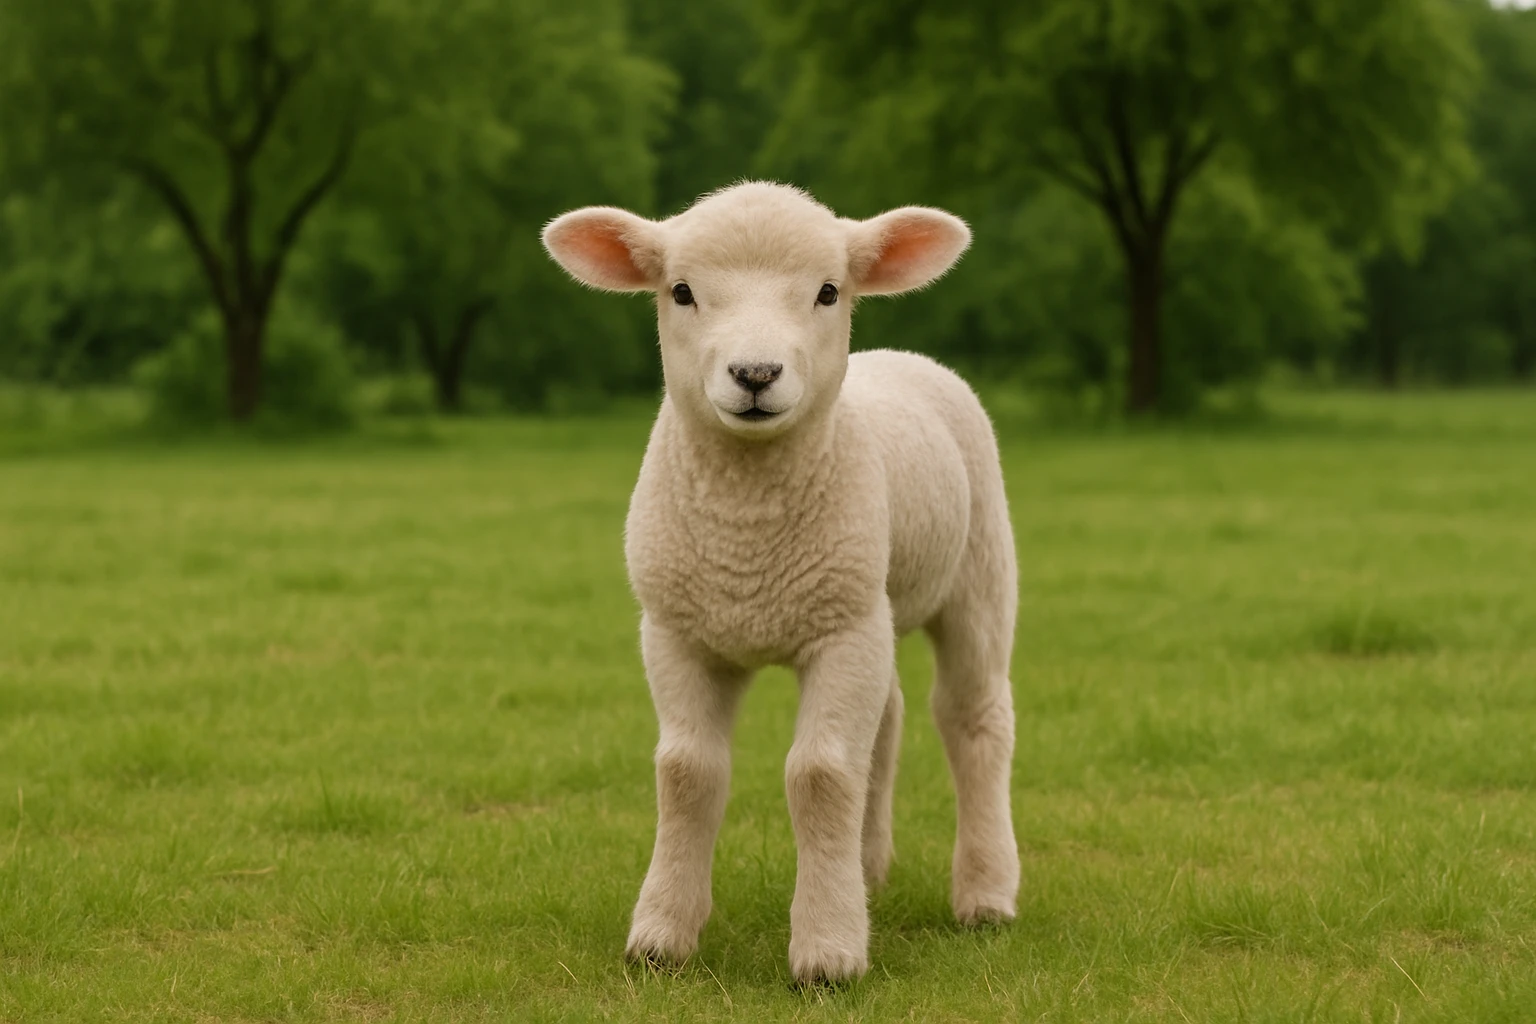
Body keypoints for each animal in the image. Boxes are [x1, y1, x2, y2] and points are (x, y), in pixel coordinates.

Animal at [541, 181, 1019, 984]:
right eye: (681, 291)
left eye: (828, 292)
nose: (756, 375)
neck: (748, 544)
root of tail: (901, 356)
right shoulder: (676, 630)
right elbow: (687, 773)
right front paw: (661, 936)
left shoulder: (841, 631)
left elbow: (819, 776)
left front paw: (827, 953)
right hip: (875, 602)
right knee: (886, 722)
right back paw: (867, 871)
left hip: (975, 572)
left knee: (972, 717)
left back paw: (986, 894)